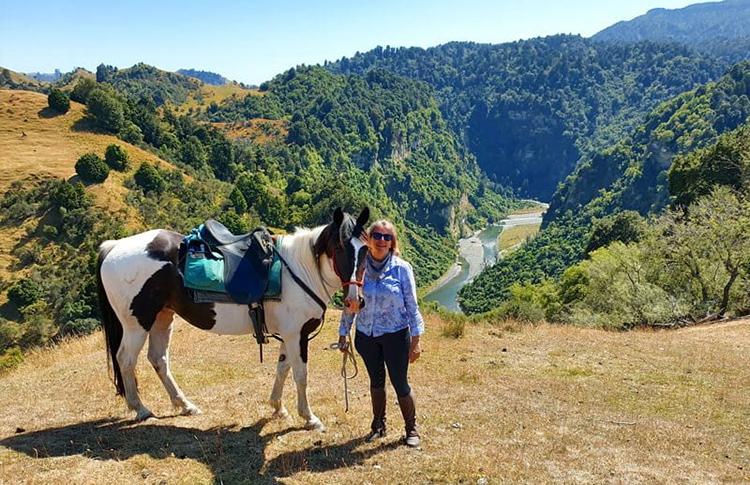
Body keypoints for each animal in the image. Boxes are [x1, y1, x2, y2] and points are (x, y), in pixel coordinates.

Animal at [95, 206, 372, 430]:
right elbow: (300, 375)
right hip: (137, 324)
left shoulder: (289, 335)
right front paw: (309, 418)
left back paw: (185, 405)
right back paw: (141, 409)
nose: (355, 301)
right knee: (126, 359)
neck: (299, 270)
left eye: (365, 249)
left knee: (158, 359)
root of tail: (114, 246)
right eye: (339, 247)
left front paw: (277, 407)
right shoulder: (296, 335)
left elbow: (283, 368)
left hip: (163, 318)